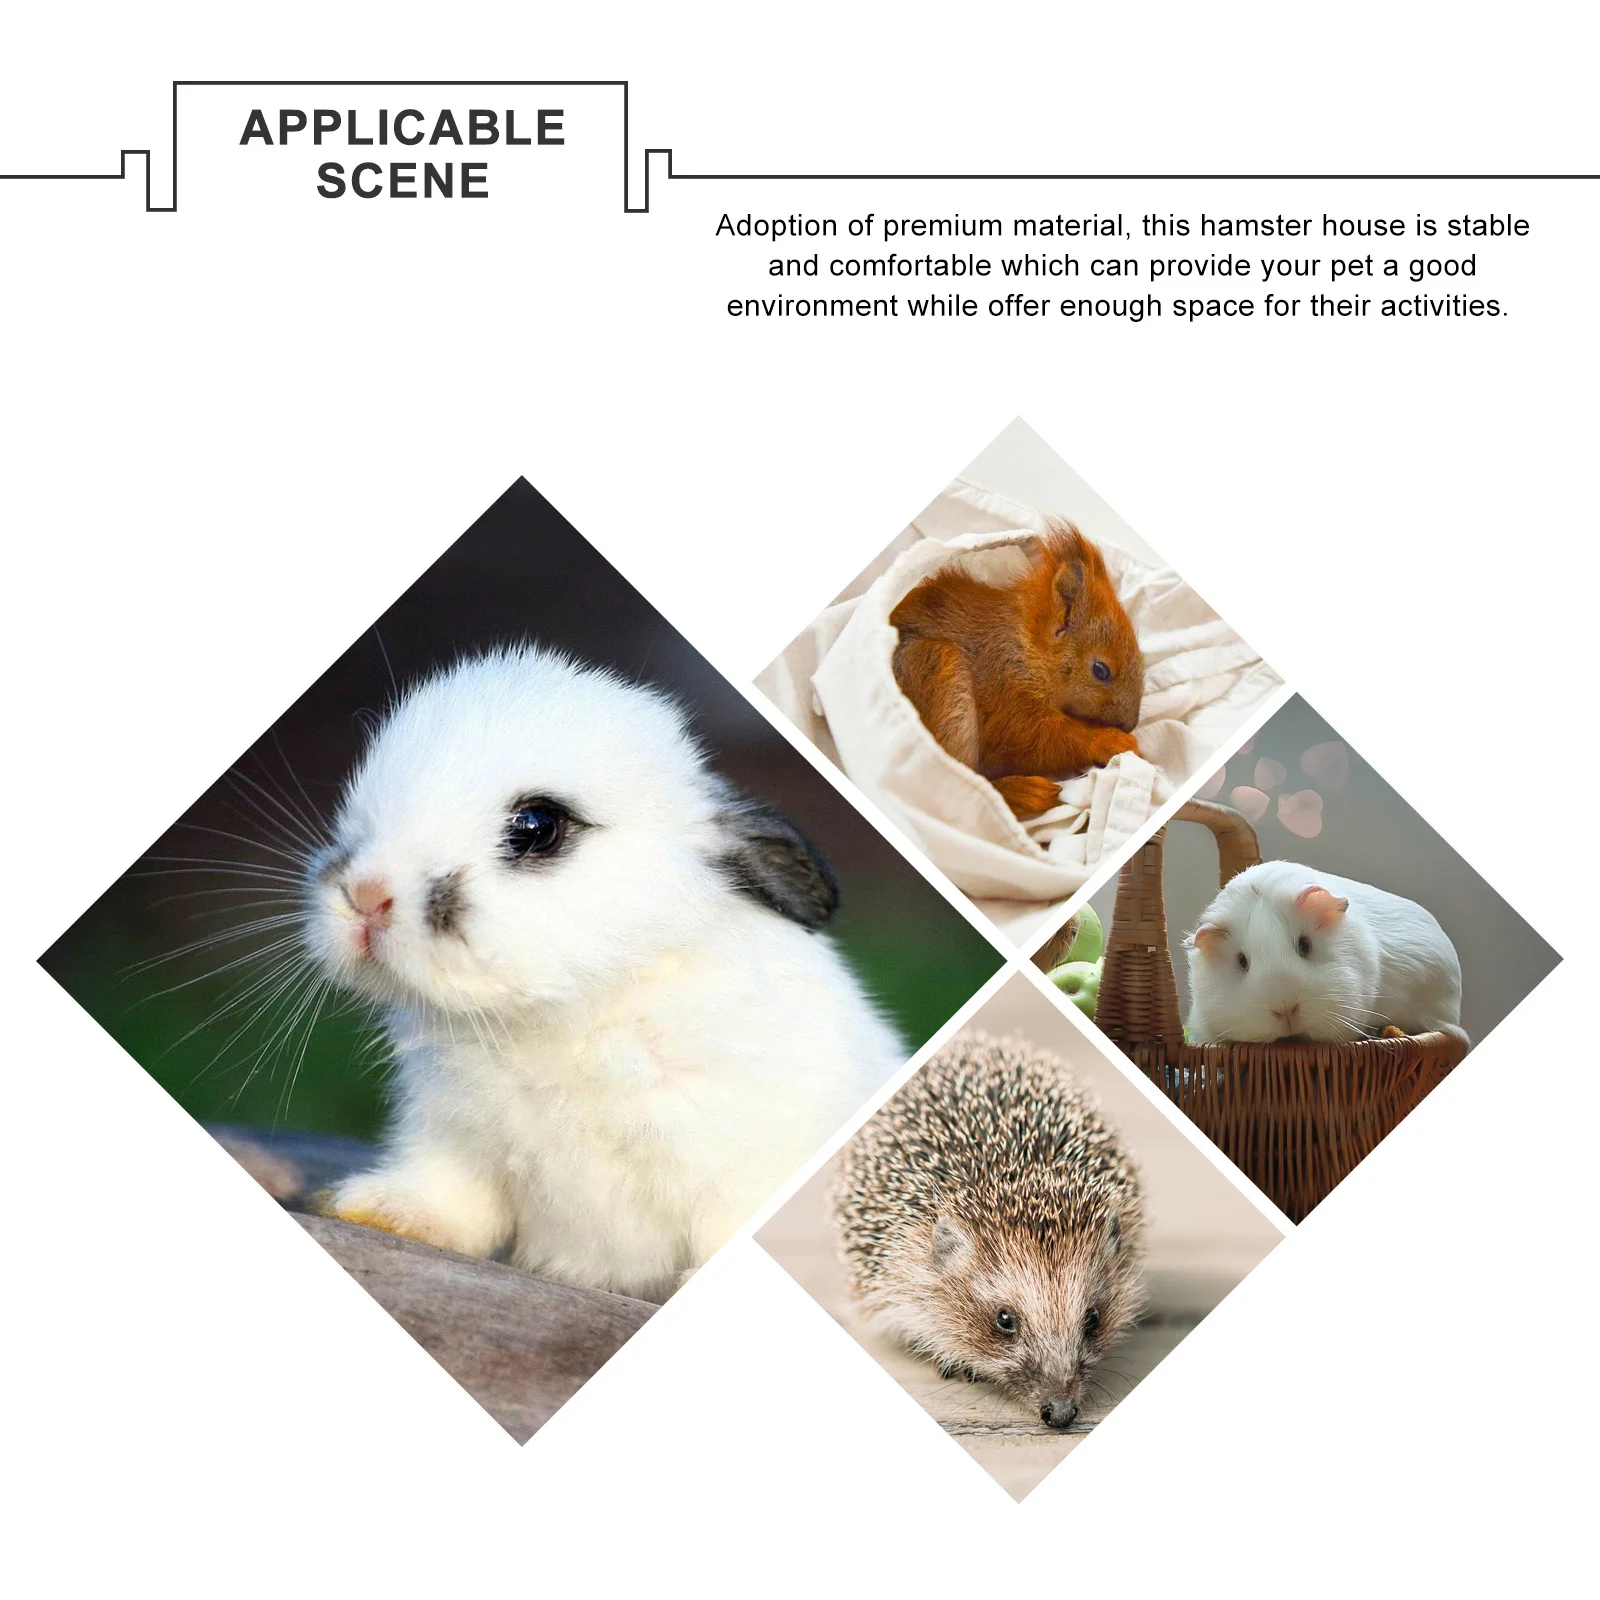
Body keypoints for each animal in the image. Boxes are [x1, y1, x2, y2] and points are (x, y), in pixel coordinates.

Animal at [304, 644, 905, 1302]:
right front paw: (376, 1209)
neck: (574, 1014)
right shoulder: (454, 1141)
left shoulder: (748, 1166)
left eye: (538, 826)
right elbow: (451, 1201)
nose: (366, 894)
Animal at [889, 522, 1145, 821]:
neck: (1027, 647)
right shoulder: (1008, 694)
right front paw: (1111, 741)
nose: (1131, 724)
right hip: (938, 672)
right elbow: (1043, 740)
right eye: (1101, 670)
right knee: (961, 787)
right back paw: (1023, 792)